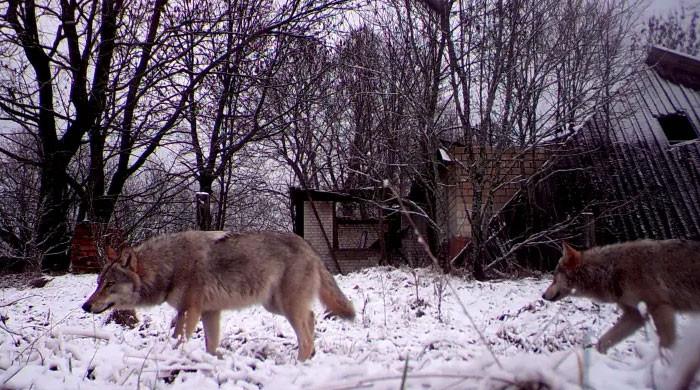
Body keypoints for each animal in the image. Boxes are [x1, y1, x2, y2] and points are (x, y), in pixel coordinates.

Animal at [82, 230, 356, 362]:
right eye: (98, 283)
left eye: (110, 284)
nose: (85, 306)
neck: (170, 265)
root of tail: (309, 248)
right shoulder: (210, 312)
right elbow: (211, 345)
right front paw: (209, 362)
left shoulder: (189, 311)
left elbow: (178, 341)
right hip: (275, 306)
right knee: (311, 318)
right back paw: (311, 357)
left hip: (285, 307)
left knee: (306, 333)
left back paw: (298, 365)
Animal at [544, 238, 700, 354]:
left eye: (554, 278)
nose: (543, 296)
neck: (610, 270)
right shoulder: (634, 315)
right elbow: (602, 342)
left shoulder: (660, 307)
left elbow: (665, 345)